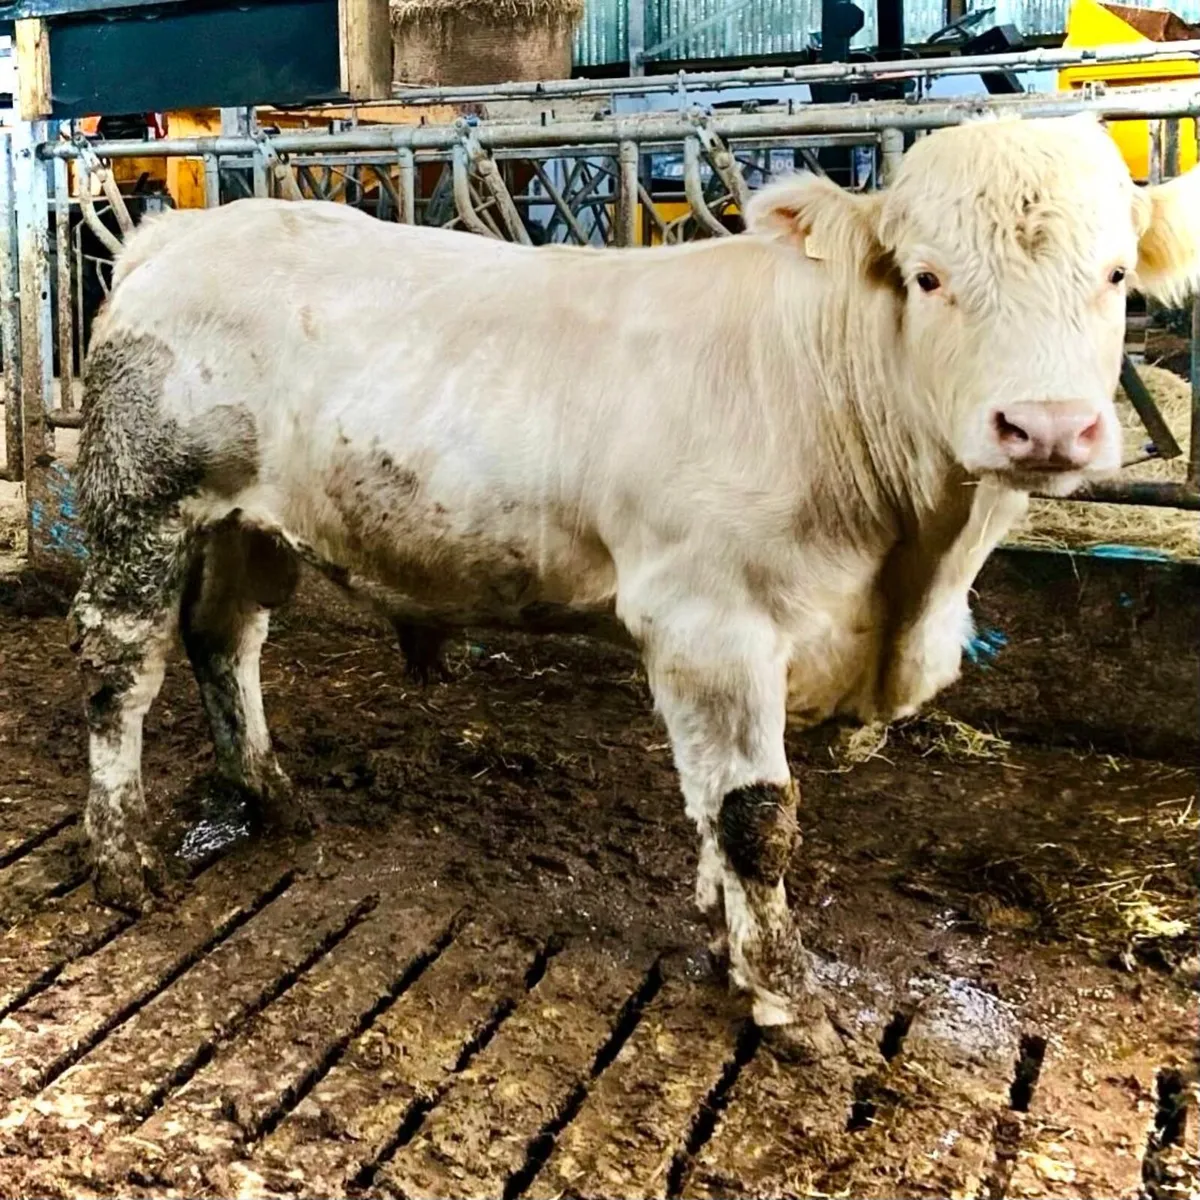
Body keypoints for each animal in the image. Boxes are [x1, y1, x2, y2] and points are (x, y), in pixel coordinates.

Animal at [68, 113, 1200, 1059]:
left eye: (1114, 277)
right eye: (926, 278)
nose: (1046, 427)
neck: (911, 568)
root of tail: (179, 235)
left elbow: (717, 816)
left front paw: (731, 945)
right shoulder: (709, 621)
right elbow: (755, 818)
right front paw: (788, 995)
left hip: (247, 524)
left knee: (226, 640)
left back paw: (269, 793)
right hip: (143, 502)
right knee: (120, 667)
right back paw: (122, 856)